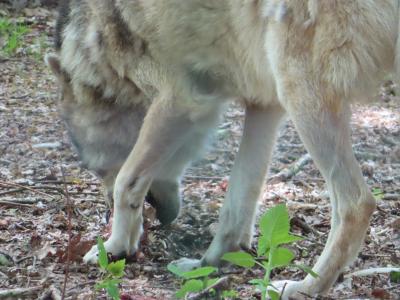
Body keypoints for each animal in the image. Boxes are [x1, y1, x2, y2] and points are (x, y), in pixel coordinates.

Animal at [46, 0, 400, 298]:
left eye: (100, 169)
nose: (105, 213)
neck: (99, 35)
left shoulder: (180, 99)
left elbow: (127, 183)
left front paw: (114, 247)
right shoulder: (264, 105)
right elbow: (238, 201)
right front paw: (210, 263)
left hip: (300, 91)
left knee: (358, 203)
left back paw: (305, 287)